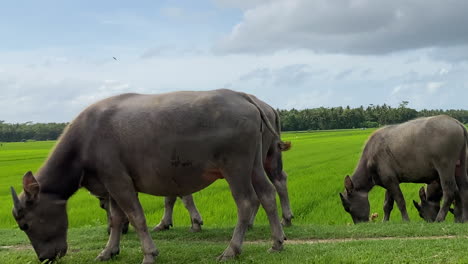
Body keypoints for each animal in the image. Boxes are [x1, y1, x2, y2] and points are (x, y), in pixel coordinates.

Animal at [11, 89, 288, 262]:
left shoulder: (119, 181)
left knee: (246, 201)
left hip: (235, 168)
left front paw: (149, 254)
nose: (44, 257)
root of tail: (243, 97)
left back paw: (232, 249)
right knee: (267, 193)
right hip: (254, 164)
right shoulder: (111, 186)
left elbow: (136, 217)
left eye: (26, 224)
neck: (85, 141)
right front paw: (109, 251)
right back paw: (276, 242)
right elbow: (116, 219)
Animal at [340, 115, 468, 223]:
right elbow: (387, 204)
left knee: (450, 191)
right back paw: (463, 219)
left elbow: (400, 201)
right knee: (463, 189)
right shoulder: (388, 181)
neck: (370, 158)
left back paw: (440, 219)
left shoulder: (390, 180)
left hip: (445, 167)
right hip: (460, 166)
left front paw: (406, 220)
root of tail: (457, 123)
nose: (359, 223)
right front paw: (385, 221)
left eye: (347, 208)